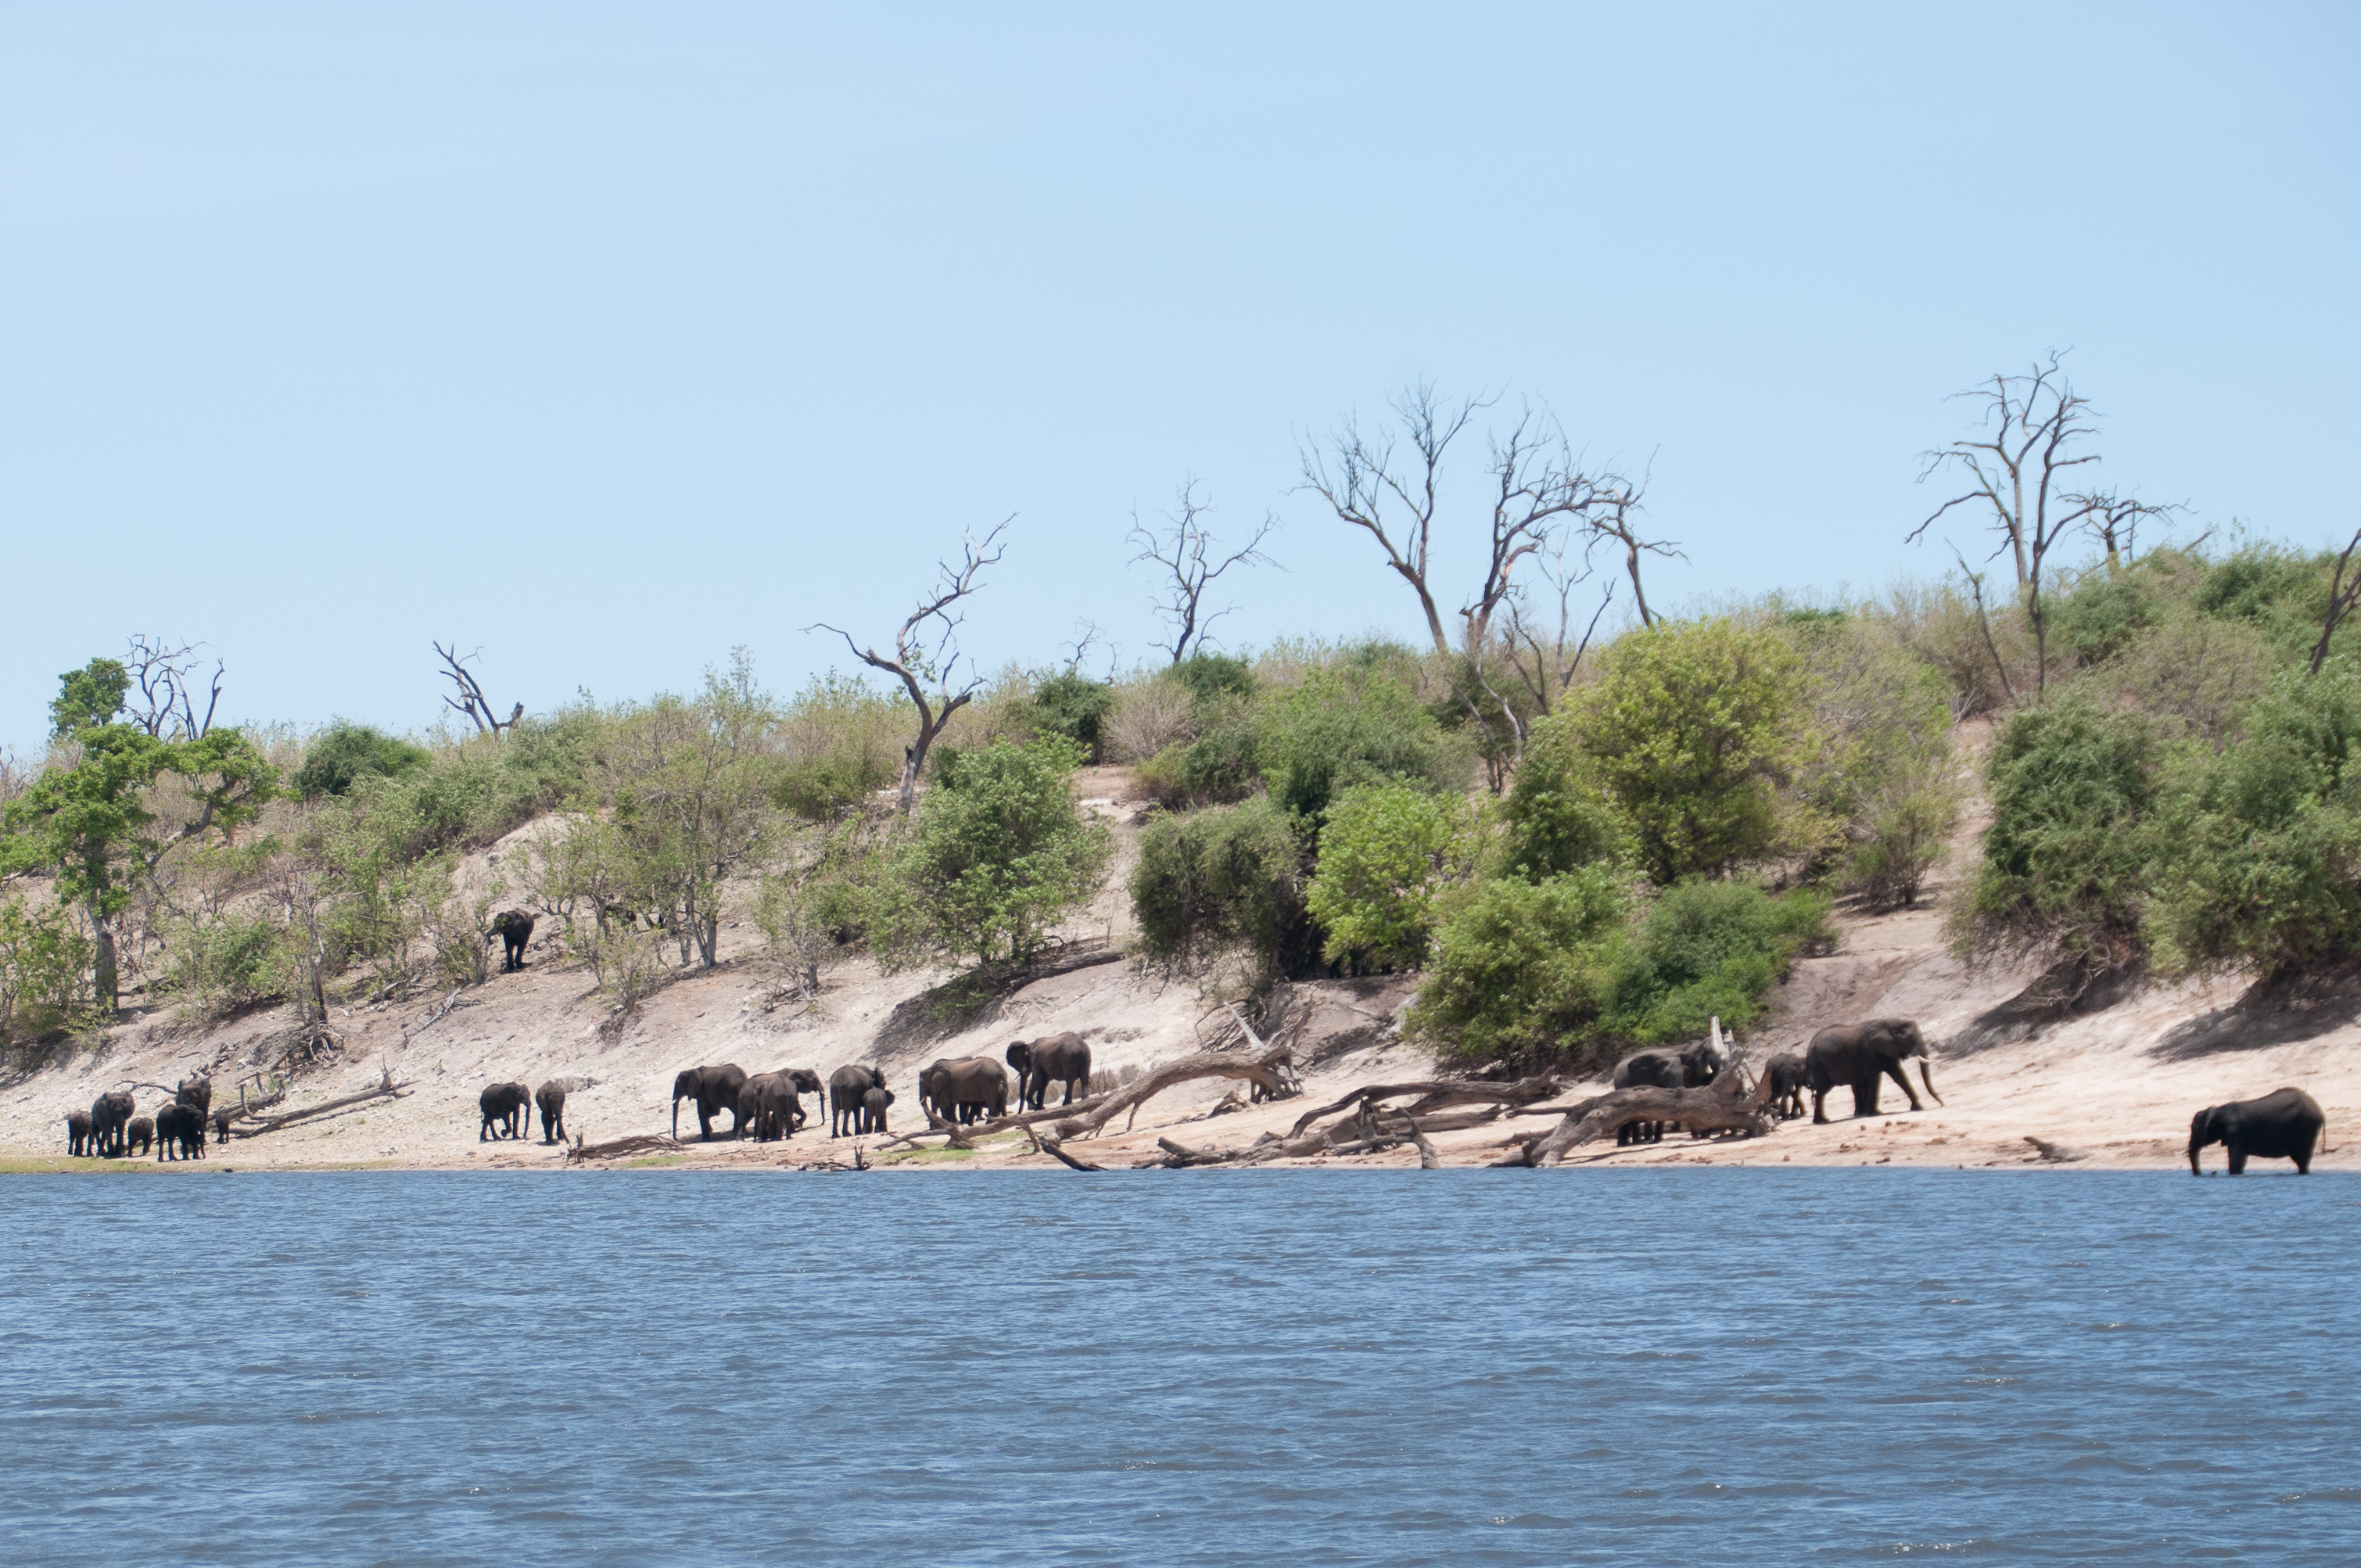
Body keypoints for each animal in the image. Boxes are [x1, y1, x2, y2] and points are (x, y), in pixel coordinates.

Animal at [1803, 1015, 1936, 1128]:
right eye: (1909, 1038)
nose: (1940, 1103)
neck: (1891, 1022)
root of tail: (1809, 1046)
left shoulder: (1886, 1051)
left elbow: (1899, 1076)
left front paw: (1919, 1108)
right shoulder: (1871, 1052)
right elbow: (1875, 1079)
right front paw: (1873, 1114)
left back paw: (1821, 1121)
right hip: (1818, 1064)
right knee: (1822, 1091)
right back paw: (1822, 1121)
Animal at [2181, 1091, 2332, 1175]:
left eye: (2194, 1129)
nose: (2203, 1173)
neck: (2219, 1109)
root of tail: (2320, 1112)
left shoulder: (2235, 1131)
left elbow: (2236, 1160)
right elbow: (2241, 1161)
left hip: (2306, 1127)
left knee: (2301, 1157)